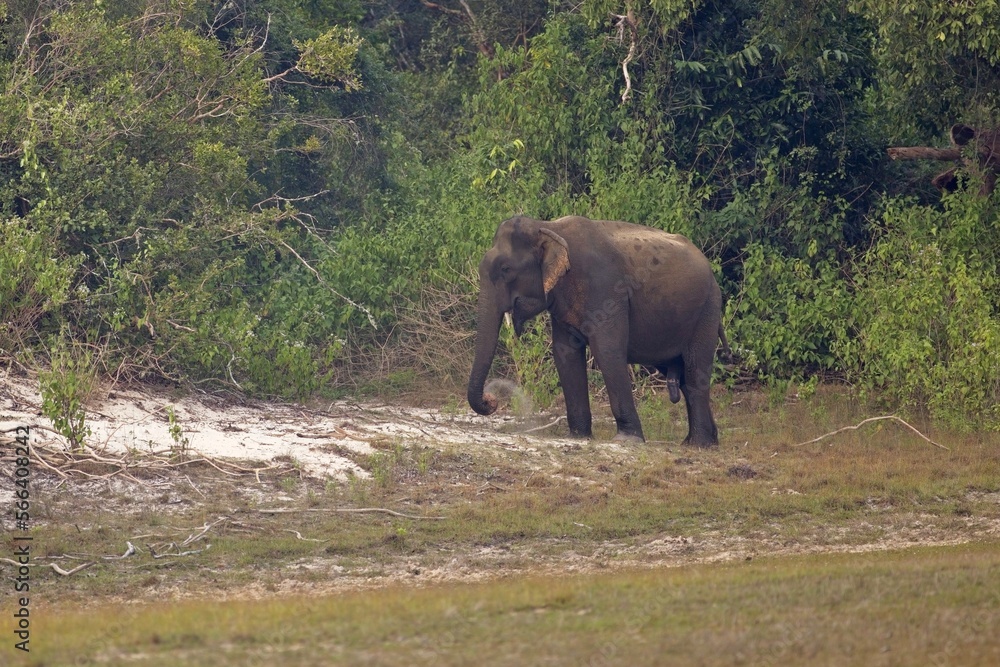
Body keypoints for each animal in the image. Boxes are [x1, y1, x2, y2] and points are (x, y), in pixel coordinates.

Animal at [467, 215, 728, 446]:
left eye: (506, 268)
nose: (491, 400)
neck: (547, 227)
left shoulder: (607, 291)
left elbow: (607, 351)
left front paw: (627, 440)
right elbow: (565, 354)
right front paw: (578, 437)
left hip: (707, 310)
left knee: (695, 371)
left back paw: (699, 444)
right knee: (682, 376)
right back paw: (702, 441)